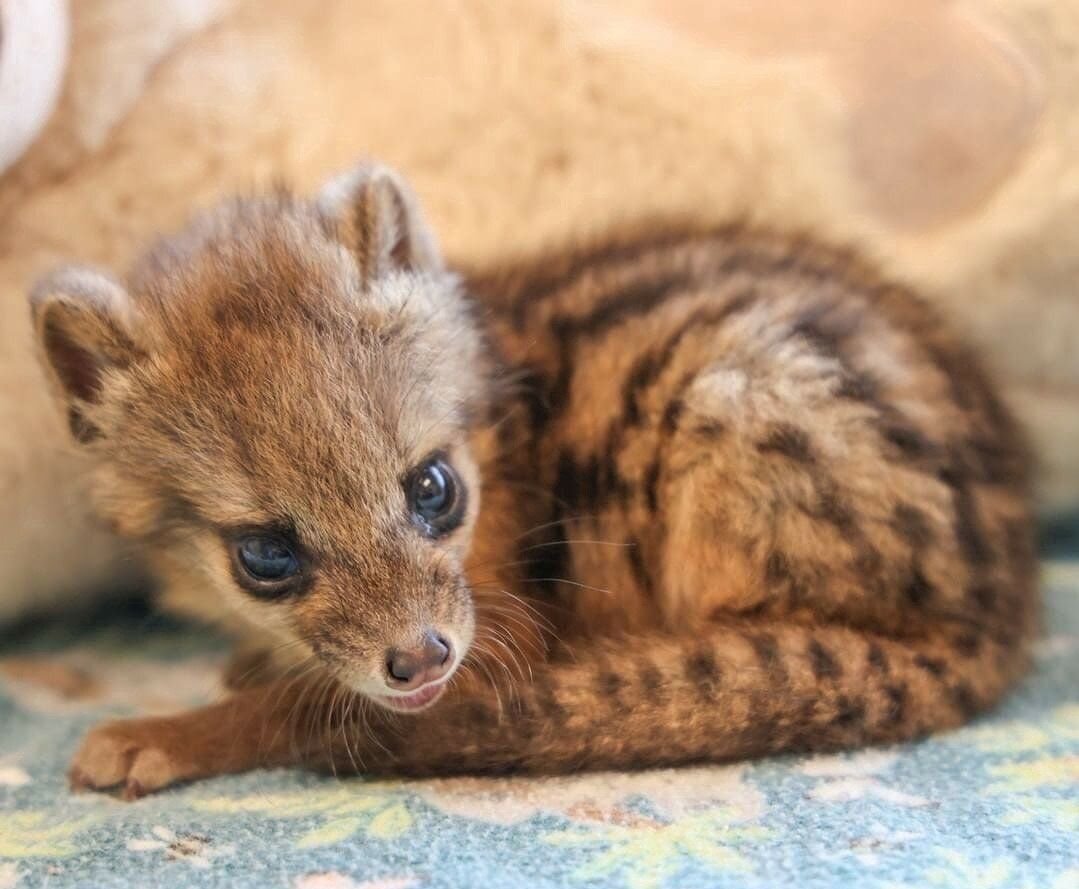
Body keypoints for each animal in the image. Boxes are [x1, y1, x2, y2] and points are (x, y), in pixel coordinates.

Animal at [31, 165, 1035, 798]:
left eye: (433, 488)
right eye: (266, 556)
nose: (420, 657)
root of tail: (996, 613)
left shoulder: (501, 630)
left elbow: (303, 707)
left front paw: (159, 733)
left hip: (735, 396)